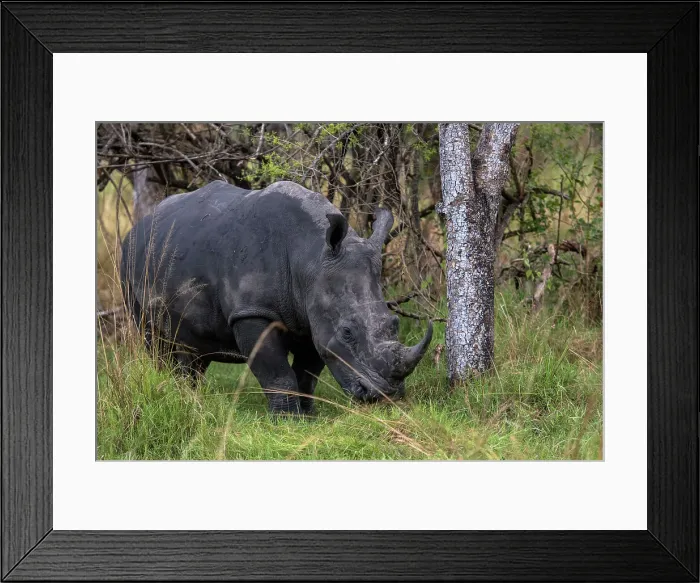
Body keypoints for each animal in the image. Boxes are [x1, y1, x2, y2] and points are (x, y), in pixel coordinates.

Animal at [120, 180, 432, 414]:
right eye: (347, 332)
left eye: (394, 323)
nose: (385, 395)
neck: (310, 258)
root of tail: (136, 227)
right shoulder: (252, 311)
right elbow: (277, 372)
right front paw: (287, 420)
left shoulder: (312, 316)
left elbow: (307, 372)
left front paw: (308, 415)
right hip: (128, 261)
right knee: (154, 340)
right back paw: (174, 394)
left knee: (192, 348)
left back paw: (190, 398)